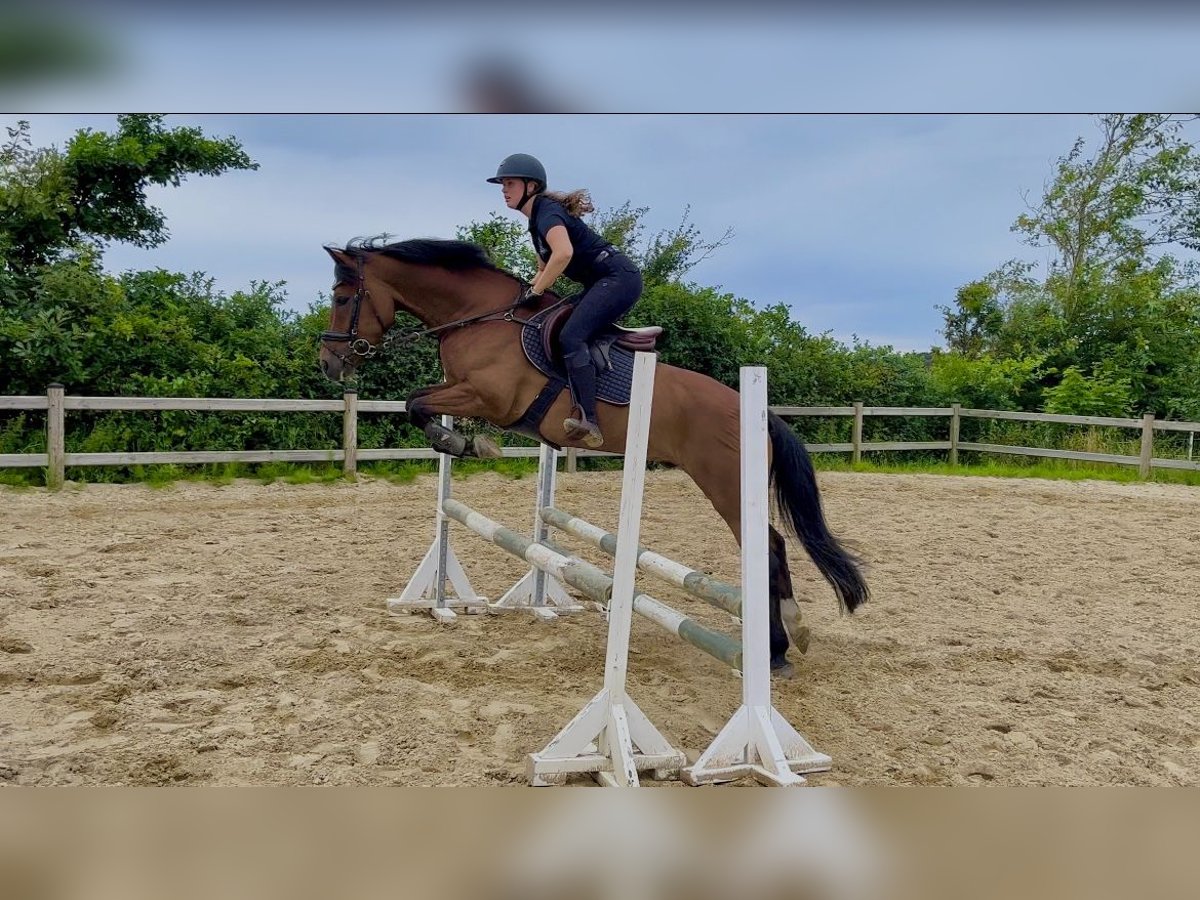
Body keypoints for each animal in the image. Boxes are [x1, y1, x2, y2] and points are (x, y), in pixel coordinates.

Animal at [314, 236, 868, 672]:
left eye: (341, 297)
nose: (329, 362)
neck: (479, 319)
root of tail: (757, 412)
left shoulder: (487, 398)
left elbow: (417, 404)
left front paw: (465, 443)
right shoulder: (463, 392)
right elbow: (418, 402)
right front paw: (460, 442)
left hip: (726, 484)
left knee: (769, 549)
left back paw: (775, 649)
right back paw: (785, 641)